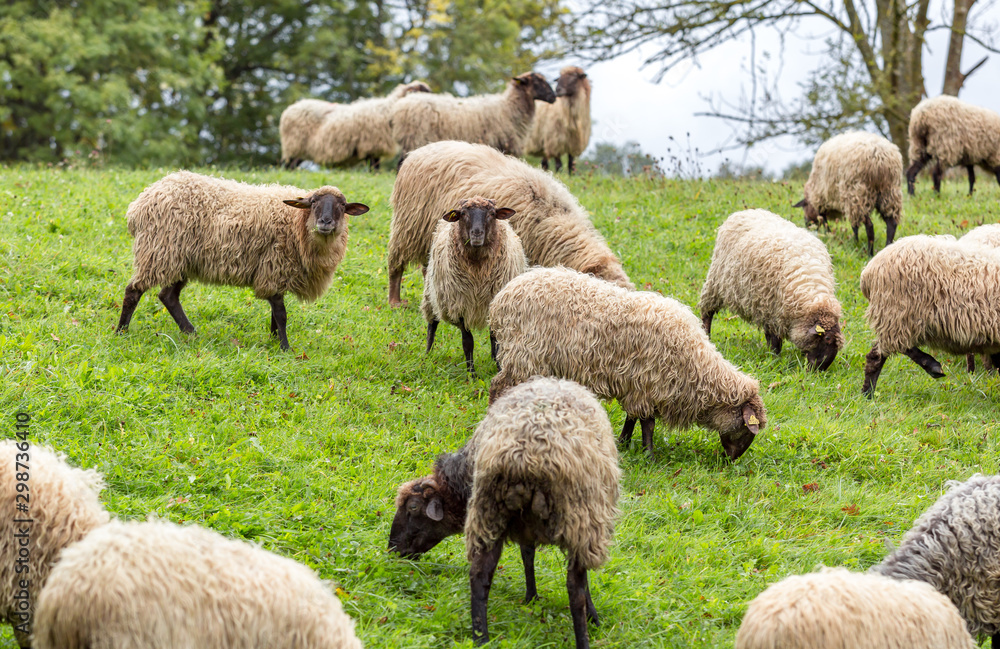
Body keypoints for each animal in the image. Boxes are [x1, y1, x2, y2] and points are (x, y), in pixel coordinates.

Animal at [114, 171, 369, 351]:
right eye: (314, 202)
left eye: (342, 206)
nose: (325, 222)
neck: (296, 222)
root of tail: (139, 204)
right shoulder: (273, 268)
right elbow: (281, 314)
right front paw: (285, 348)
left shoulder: (277, 274)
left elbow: (275, 314)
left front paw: (274, 341)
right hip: (159, 251)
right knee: (134, 291)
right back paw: (121, 332)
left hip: (182, 259)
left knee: (168, 296)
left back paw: (190, 332)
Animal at [388, 376, 620, 649]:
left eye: (412, 508)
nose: (392, 550)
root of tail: (525, 454)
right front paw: (588, 614)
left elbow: (527, 555)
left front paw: (531, 596)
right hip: (578, 518)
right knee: (575, 590)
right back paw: (582, 639)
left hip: (488, 512)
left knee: (479, 577)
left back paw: (481, 638)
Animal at [422, 196, 527, 375]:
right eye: (463, 214)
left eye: (492, 214)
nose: (477, 233)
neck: (478, 270)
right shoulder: (459, 306)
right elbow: (467, 342)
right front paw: (471, 374)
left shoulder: (494, 302)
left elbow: (495, 339)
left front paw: (498, 366)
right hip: (432, 292)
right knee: (432, 323)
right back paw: (427, 353)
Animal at [488, 267, 767, 459]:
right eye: (747, 428)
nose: (731, 460)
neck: (696, 365)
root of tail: (501, 298)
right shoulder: (647, 384)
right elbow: (648, 423)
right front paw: (648, 456)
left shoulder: (636, 385)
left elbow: (632, 418)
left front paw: (623, 442)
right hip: (523, 356)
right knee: (497, 387)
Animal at [699, 209, 845, 370]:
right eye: (826, 338)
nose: (819, 370)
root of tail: (747, 211)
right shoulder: (773, 310)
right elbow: (775, 340)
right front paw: (774, 358)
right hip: (716, 282)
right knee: (707, 312)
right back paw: (706, 335)